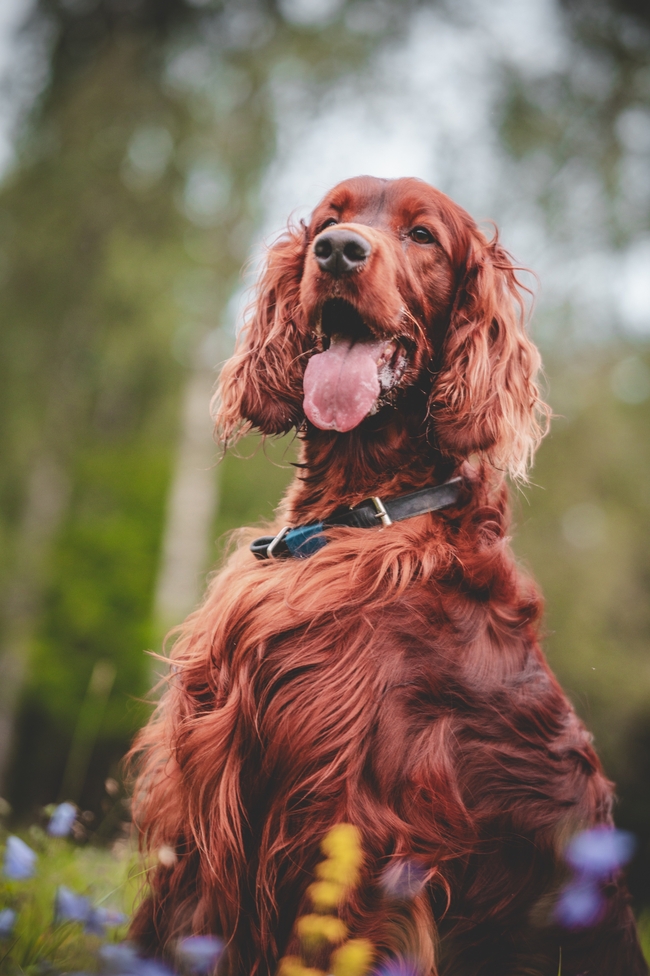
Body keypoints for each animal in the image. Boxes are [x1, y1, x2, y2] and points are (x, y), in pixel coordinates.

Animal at [129, 177, 644, 976]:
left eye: (422, 235)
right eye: (330, 218)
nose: (338, 251)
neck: (360, 512)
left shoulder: (356, 825)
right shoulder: (204, 794)